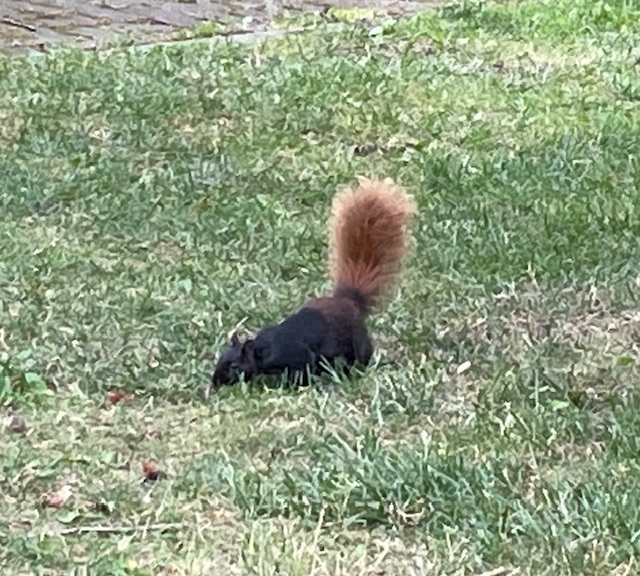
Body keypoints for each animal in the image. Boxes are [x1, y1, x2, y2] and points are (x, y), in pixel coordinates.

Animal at [210, 177, 416, 389]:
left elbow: (302, 370)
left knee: (361, 354)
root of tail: (349, 301)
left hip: (356, 340)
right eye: (220, 359)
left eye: (234, 366)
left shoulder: (297, 356)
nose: (215, 382)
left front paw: (291, 386)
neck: (265, 348)